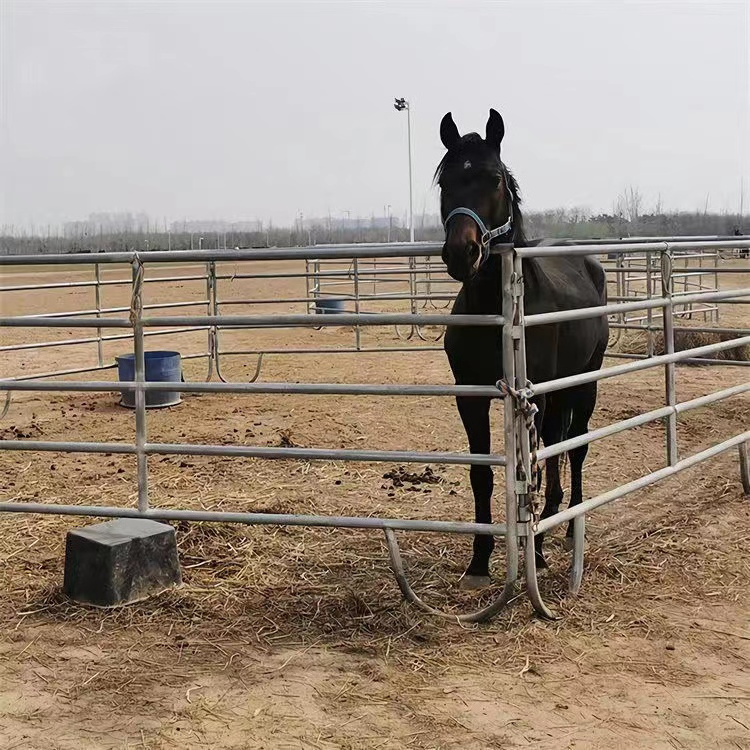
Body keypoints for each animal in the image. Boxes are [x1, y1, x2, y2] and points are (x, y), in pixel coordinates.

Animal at [438, 110, 608, 588]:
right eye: (444, 182)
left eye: (494, 179)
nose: (462, 253)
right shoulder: (470, 394)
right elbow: (482, 473)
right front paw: (479, 562)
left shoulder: (535, 393)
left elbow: (532, 465)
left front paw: (536, 549)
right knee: (556, 446)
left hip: (582, 384)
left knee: (574, 446)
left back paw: (565, 527)